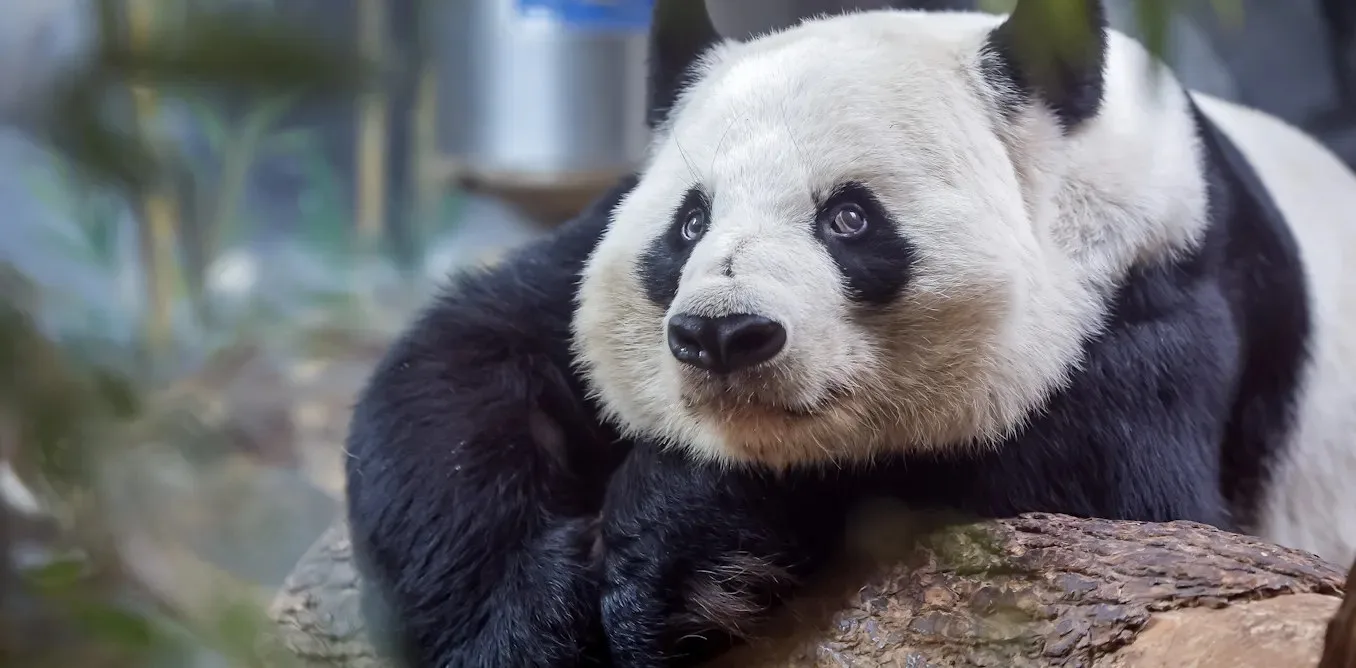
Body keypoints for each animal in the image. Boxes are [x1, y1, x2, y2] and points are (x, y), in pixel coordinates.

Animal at [342, 1, 1356, 667]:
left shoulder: (1165, 287)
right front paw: (524, 620)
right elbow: (461, 369)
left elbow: (1108, 498)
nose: (722, 335)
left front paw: (676, 551)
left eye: (850, 219)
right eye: (690, 223)